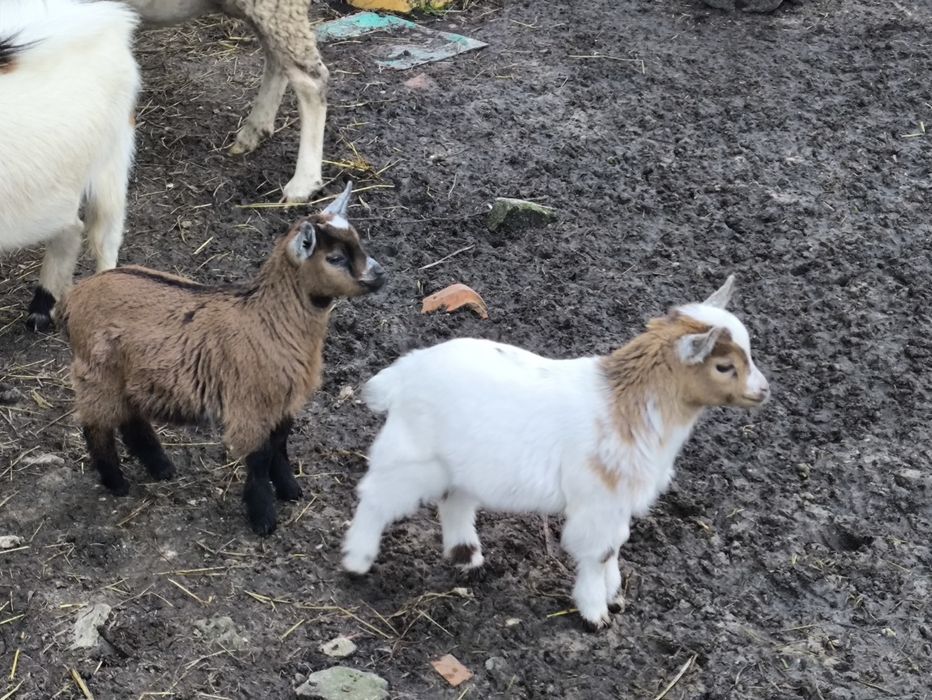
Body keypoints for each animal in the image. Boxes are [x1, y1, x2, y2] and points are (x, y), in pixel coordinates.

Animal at [61, 183, 386, 535]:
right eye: (335, 258)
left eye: (358, 241)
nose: (380, 275)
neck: (269, 317)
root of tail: (77, 296)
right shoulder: (253, 401)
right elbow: (259, 458)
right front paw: (263, 518)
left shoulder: (283, 401)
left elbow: (280, 445)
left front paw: (291, 490)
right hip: (97, 373)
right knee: (96, 425)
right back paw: (116, 482)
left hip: (127, 375)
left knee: (131, 419)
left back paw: (161, 467)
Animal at [342, 276, 770, 628]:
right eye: (723, 366)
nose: (763, 390)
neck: (627, 405)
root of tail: (405, 372)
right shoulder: (598, 500)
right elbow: (598, 552)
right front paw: (595, 613)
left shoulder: (617, 501)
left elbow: (616, 545)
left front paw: (615, 596)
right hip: (411, 455)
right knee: (376, 499)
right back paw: (356, 561)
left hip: (461, 464)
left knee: (454, 502)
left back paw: (468, 560)